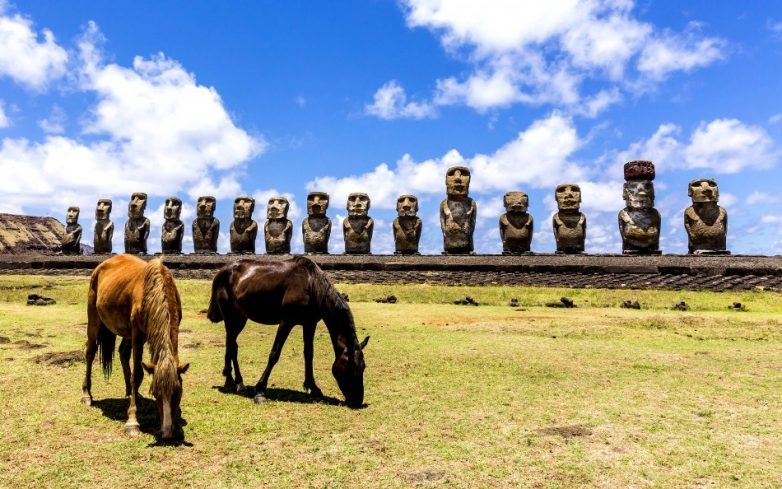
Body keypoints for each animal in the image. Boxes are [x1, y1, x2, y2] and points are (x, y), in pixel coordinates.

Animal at [82, 255, 189, 438]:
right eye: (155, 393)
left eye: (178, 392)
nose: (167, 432)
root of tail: (101, 266)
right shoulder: (138, 334)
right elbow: (137, 374)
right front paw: (132, 422)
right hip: (94, 318)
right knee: (90, 352)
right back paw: (87, 395)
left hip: (127, 332)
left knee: (123, 353)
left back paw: (132, 393)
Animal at [207, 254, 370, 406]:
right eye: (351, 367)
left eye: (363, 367)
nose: (357, 401)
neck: (311, 284)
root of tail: (224, 270)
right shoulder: (286, 322)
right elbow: (274, 354)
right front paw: (260, 391)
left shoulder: (309, 323)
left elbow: (309, 354)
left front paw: (313, 387)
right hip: (231, 317)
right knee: (232, 346)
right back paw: (236, 382)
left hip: (240, 318)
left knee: (231, 344)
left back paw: (232, 380)